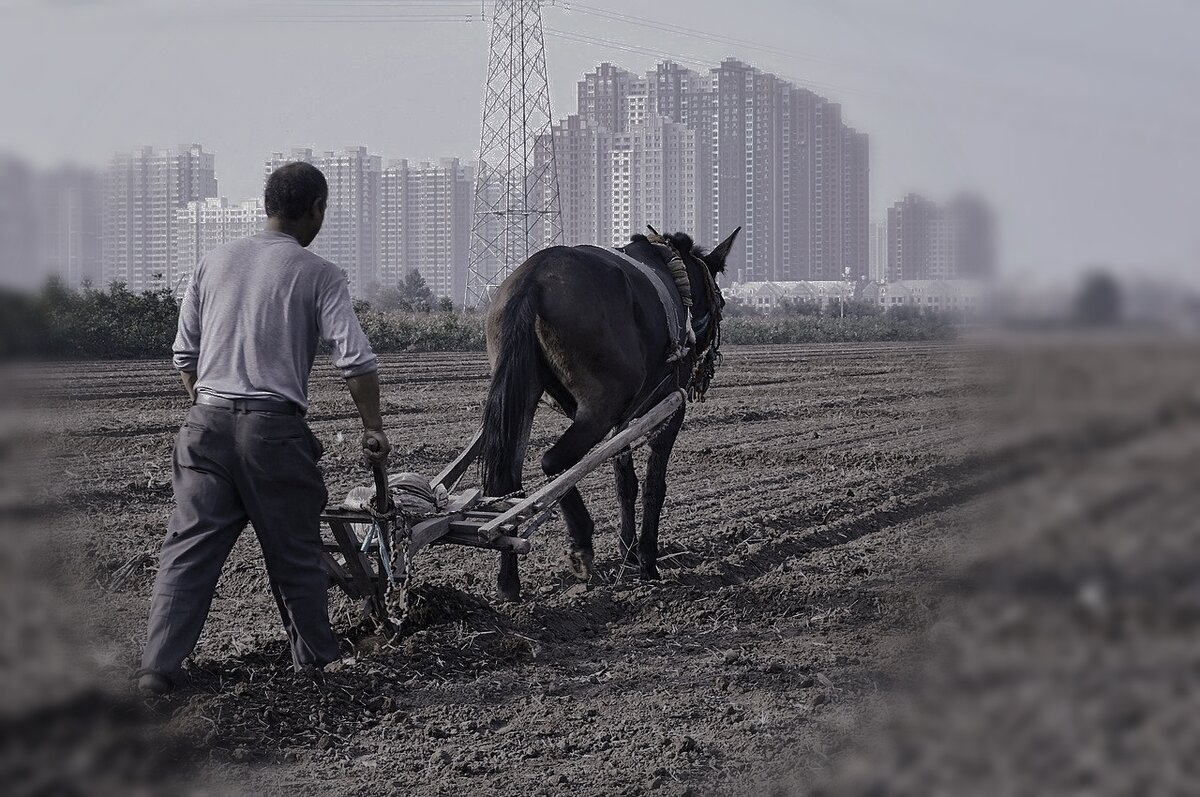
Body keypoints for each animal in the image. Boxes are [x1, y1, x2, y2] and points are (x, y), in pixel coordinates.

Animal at [477, 226, 739, 600]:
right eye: (721, 301)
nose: (707, 371)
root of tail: (533, 280)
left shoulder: (625, 419)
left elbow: (624, 481)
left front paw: (627, 552)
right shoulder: (667, 408)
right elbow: (653, 484)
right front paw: (646, 561)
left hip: (524, 395)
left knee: (507, 485)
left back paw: (508, 581)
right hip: (599, 407)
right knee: (554, 462)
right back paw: (581, 542)